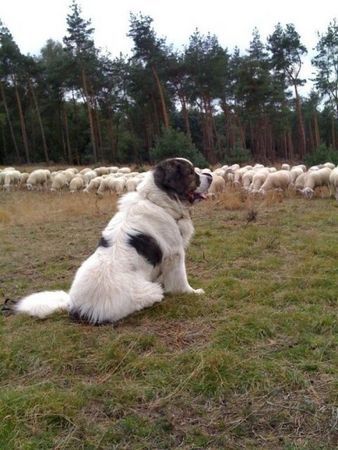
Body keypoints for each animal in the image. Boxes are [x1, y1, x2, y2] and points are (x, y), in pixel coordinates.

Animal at [4, 158, 211, 324]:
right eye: (191, 173)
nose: (209, 175)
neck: (159, 202)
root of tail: (76, 307)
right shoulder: (175, 254)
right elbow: (181, 279)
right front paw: (192, 292)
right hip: (146, 291)